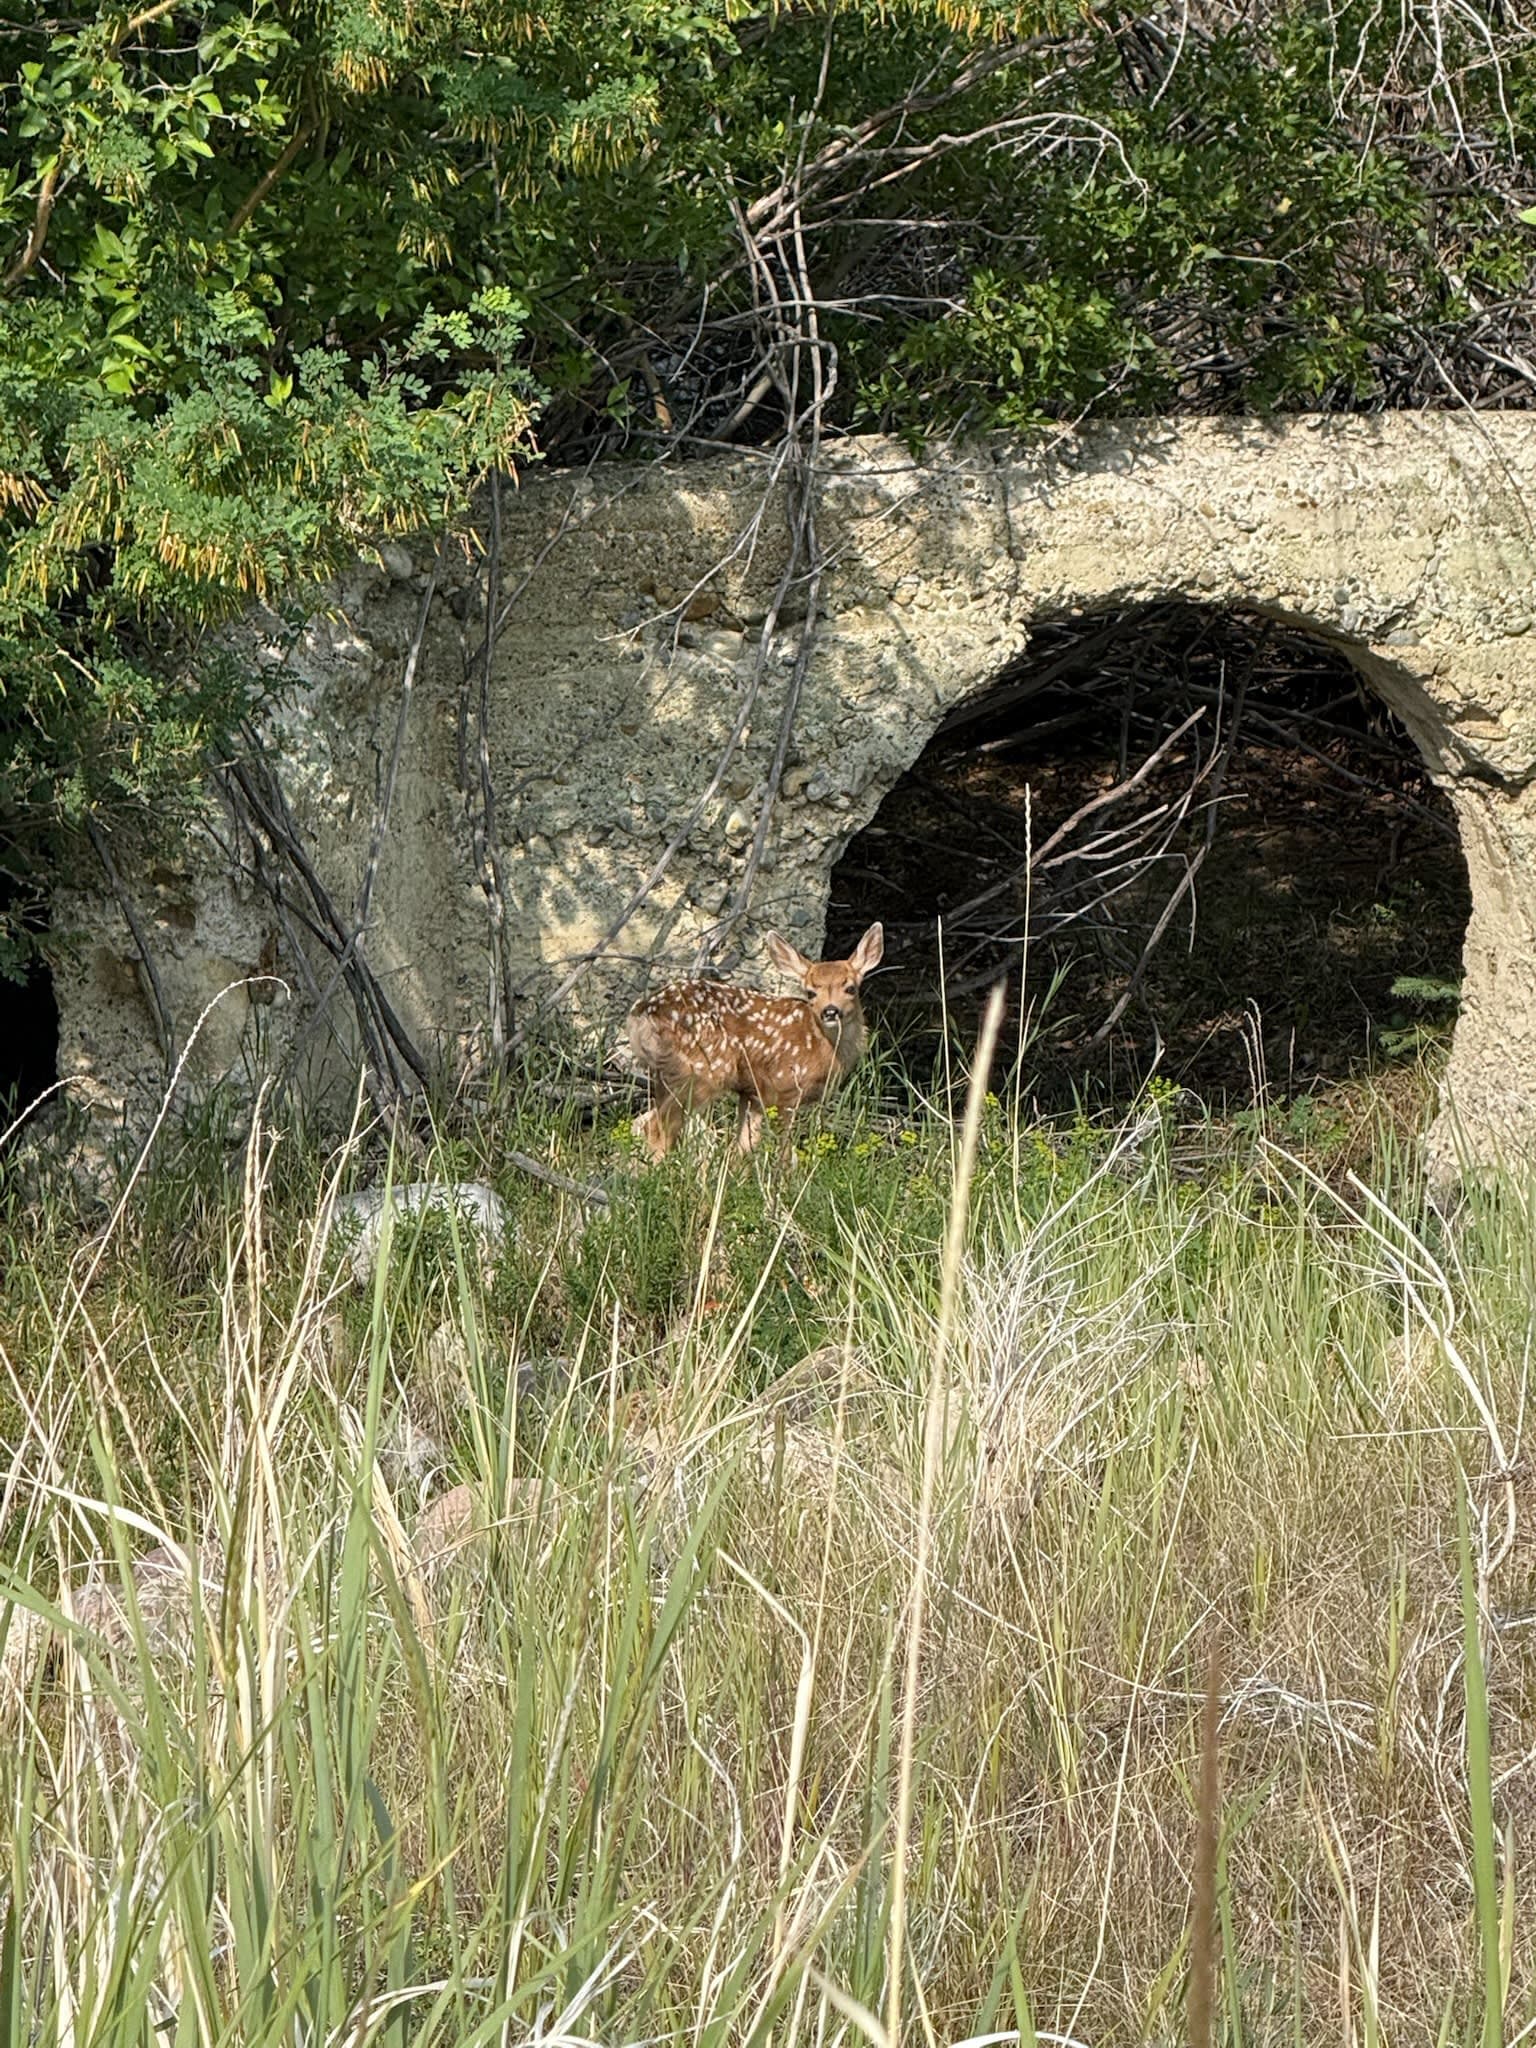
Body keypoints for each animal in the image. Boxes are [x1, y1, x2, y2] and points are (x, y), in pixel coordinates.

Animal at [627, 923, 885, 1160]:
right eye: (811, 992)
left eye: (850, 988)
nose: (830, 1011)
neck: (822, 1047)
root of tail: (641, 1014)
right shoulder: (784, 1089)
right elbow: (784, 1154)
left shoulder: (752, 1095)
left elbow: (742, 1148)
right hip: (699, 1072)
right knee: (657, 1128)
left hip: (667, 1075)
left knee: (643, 1122)